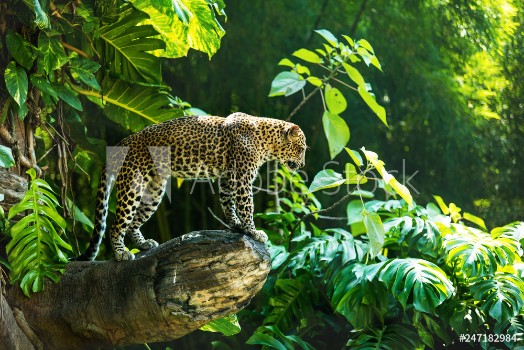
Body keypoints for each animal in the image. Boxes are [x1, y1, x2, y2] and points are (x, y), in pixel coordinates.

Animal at [78, 110, 308, 262]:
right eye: (302, 148)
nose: (303, 165)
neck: (266, 140)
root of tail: (122, 142)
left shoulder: (227, 176)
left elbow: (228, 202)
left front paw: (236, 225)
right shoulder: (242, 177)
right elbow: (246, 206)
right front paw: (253, 232)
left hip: (154, 190)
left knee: (134, 222)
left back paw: (144, 244)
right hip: (132, 186)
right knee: (117, 224)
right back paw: (120, 253)